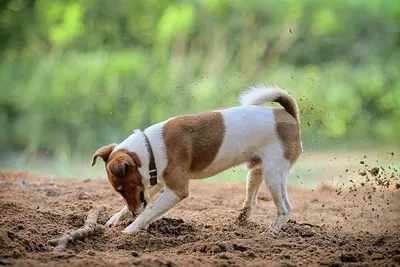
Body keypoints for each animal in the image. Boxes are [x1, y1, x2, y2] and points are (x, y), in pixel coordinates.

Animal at [91, 85, 304, 234]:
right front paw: (117, 218)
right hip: (257, 172)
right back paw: (241, 221)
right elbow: (142, 205)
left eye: (121, 190)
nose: (134, 212)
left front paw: (131, 229)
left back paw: (271, 232)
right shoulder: (156, 183)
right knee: (251, 200)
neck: (148, 149)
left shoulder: (176, 191)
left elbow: (149, 212)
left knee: (285, 208)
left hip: (273, 175)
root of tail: (289, 115)